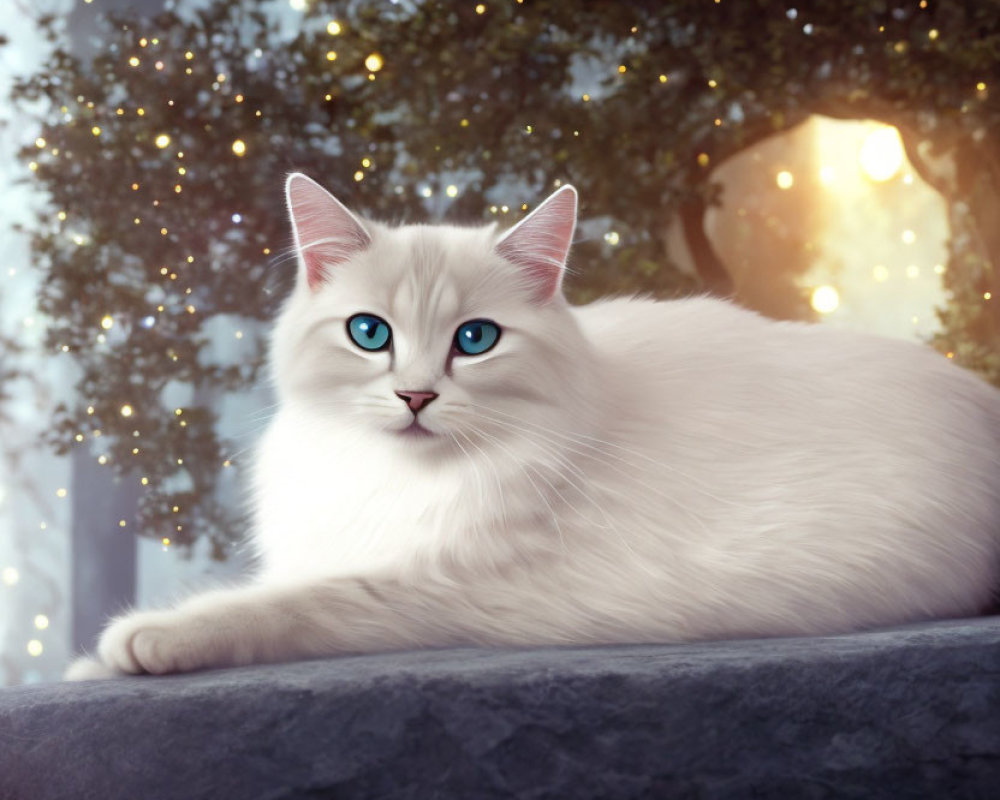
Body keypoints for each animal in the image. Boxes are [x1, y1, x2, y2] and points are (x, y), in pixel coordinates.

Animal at [66, 172, 996, 680]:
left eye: (475, 340)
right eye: (370, 333)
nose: (415, 397)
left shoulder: (438, 586)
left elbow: (282, 604)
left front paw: (136, 641)